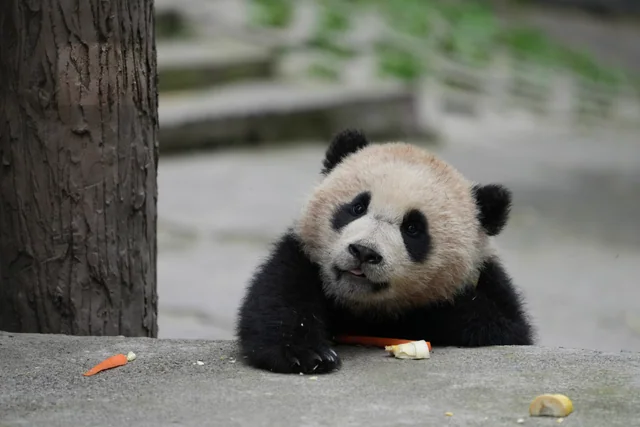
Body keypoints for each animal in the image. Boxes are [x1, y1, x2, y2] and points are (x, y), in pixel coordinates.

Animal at [236, 129, 534, 374]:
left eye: (413, 228)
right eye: (357, 207)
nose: (364, 252)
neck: (361, 303)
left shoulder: (487, 285)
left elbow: (498, 328)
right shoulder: (302, 255)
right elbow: (278, 298)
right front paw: (308, 355)